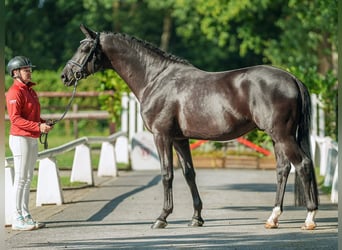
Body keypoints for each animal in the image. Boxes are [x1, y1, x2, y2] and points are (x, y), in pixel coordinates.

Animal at [60, 24, 318, 230]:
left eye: (85, 48)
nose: (65, 76)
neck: (155, 79)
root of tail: (291, 78)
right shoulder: (179, 139)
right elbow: (189, 174)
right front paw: (197, 218)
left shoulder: (162, 136)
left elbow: (167, 175)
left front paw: (162, 218)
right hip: (277, 137)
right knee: (283, 169)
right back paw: (273, 218)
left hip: (282, 135)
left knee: (303, 165)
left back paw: (309, 218)